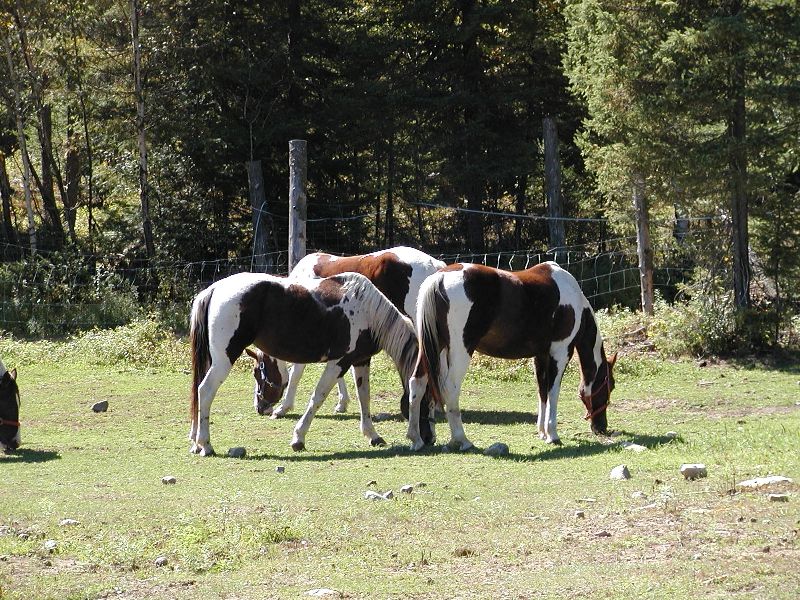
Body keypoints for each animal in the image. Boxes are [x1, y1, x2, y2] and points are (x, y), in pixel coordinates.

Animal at [188, 271, 433, 455]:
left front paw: (373, 435)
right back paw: (206, 445)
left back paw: (195, 442)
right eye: (426, 402)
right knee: (205, 391)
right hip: (224, 359)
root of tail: (215, 289)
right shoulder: (339, 362)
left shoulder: (361, 361)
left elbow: (364, 397)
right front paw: (298, 438)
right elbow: (318, 397)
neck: (368, 311)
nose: (428, 439)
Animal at [254, 246, 445, 418]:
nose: (260, 407)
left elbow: (296, 373)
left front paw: (284, 407)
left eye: (257, 373)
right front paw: (342, 403)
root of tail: (434, 264)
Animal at [406, 261, 617, 451]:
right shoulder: (560, 352)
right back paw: (462, 440)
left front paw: (542, 433)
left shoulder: (541, 356)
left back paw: (416, 439)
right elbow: (553, 392)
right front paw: (552, 434)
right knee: (450, 388)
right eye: (610, 385)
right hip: (460, 352)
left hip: (432, 349)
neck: (574, 301)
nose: (601, 427)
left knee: (417, 382)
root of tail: (440, 278)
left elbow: (542, 391)